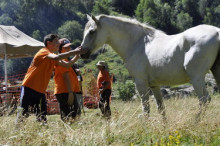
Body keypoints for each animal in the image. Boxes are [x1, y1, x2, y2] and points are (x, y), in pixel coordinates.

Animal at [81, 14, 220, 121]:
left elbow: (146, 108)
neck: (137, 43)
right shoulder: (154, 85)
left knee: (204, 100)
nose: (82, 53)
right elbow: (161, 108)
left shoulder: (141, 83)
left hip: (196, 78)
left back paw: (195, 122)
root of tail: (217, 32)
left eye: (92, 31)